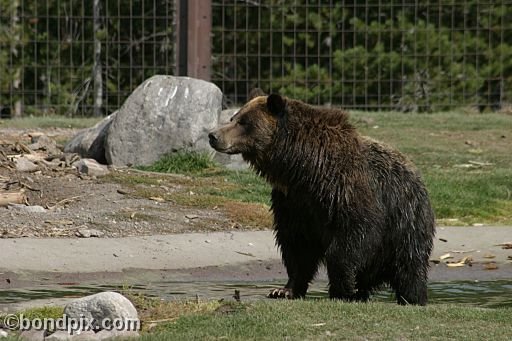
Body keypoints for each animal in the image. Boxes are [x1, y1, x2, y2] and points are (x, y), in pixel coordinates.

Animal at [208, 89, 436, 304]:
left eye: (243, 122)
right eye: (234, 118)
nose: (213, 135)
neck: (305, 169)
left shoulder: (347, 191)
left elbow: (354, 234)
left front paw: (341, 289)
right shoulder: (294, 201)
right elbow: (297, 245)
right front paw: (284, 290)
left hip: (405, 224)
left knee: (409, 269)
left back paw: (411, 297)